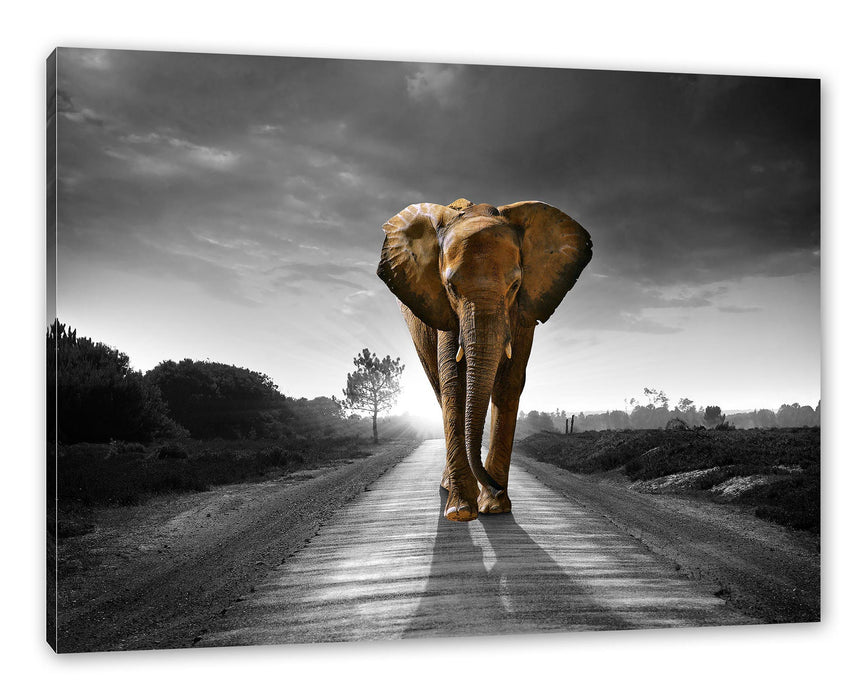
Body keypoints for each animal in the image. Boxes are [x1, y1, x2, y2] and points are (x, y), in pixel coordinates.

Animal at [377, 198, 592, 521]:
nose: (495, 487)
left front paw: (495, 507)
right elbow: (454, 382)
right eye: (451, 288)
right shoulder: (443, 308)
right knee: (439, 388)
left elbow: (509, 383)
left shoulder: (525, 309)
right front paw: (462, 512)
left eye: (515, 285)